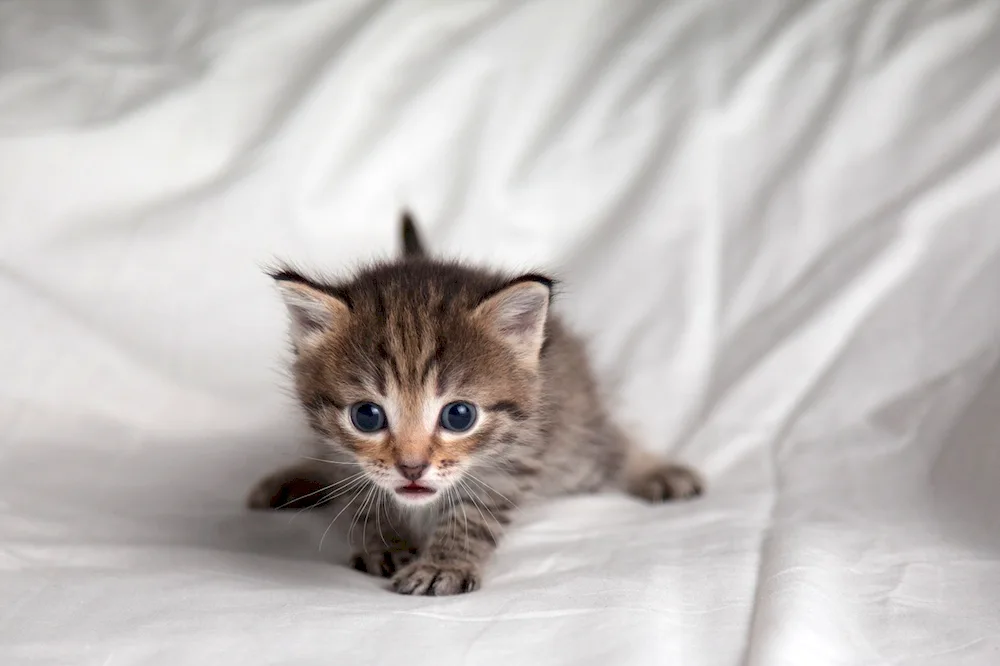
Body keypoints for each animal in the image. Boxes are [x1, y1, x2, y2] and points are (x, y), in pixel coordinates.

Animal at [250, 215, 704, 592]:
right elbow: (360, 496)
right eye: (366, 416)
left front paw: (442, 565)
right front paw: (385, 541)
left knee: (610, 445)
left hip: (573, 442)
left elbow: (474, 514)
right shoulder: (342, 453)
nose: (411, 468)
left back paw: (659, 471)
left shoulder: (516, 456)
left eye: (459, 415)